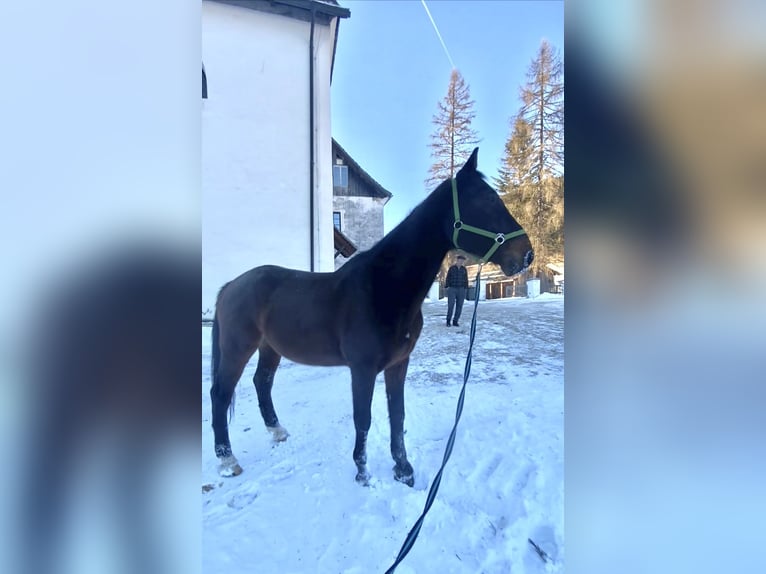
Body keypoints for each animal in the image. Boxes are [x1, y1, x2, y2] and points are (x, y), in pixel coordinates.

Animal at [210, 148, 534, 486]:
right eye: (487, 200)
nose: (527, 255)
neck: (383, 287)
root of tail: (231, 285)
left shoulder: (398, 364)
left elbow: (397, 414)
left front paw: (403, 469)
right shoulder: (362, 369)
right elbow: (362, 418)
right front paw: (362, 471)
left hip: (270, 348)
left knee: (262, 382)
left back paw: (277, 431)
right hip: (237, 348)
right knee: (220, 394)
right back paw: (227, 460)